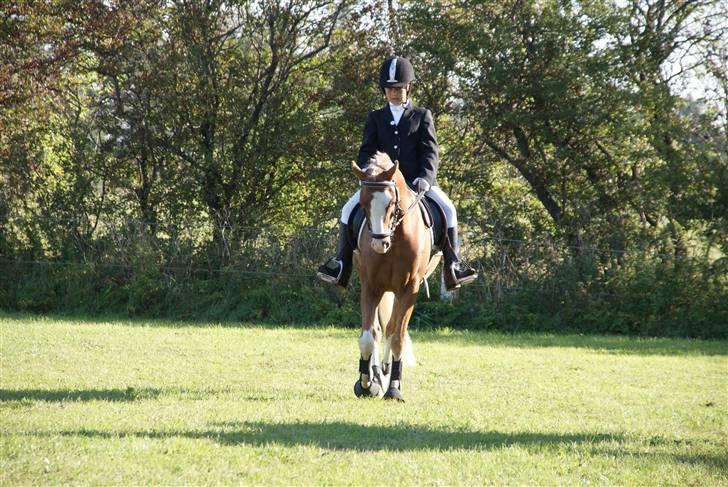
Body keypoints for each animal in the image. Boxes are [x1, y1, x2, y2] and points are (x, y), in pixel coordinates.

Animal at [351, 152, 441, 402]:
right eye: (363, 203)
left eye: (391, 203)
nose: (379, 244)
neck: (396, 237)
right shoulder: (370, 287)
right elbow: (367, 337)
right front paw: (366, 383)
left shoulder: (409, 290)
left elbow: (397, 338)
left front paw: (393, 388)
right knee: (378, 330)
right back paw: (376, 375)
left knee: (391, 330)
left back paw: (385, 372)